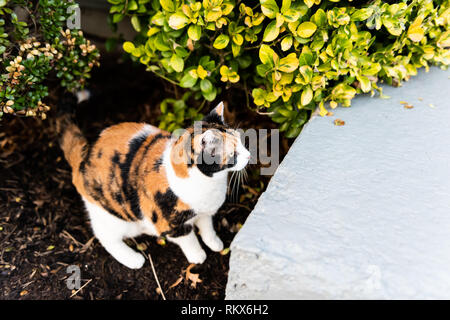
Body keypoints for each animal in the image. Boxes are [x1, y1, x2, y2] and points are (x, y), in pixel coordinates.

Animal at [57, 99, 250, 268]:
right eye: (234, 153)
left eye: (241, 141)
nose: (249, 155)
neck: (210, 183)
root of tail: (84, 157)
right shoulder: (171, 225)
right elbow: (189, 239)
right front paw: (198, 255)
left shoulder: (205, 212)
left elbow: (207, 227)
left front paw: (215, 243)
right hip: (114, 215)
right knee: (104, 235)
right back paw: (132, 259)